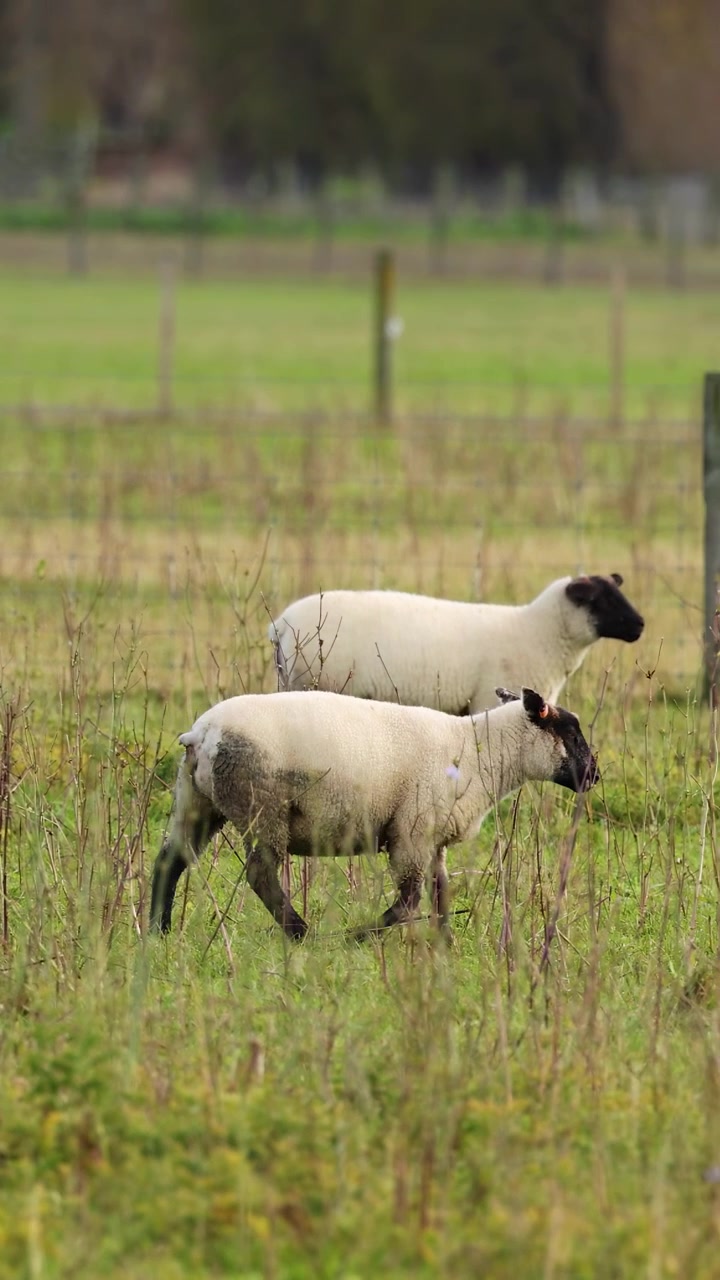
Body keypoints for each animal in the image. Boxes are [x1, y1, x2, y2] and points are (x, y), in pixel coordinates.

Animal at [150, 685, 599, 943]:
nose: (594, 775)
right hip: (262, 806)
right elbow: (409, 900)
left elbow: (440, 891)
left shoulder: (431, 837)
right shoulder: (410, 831)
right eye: (572, 734)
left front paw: (444, 945)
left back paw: (158, 929)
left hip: (198, 800)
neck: (479, 753)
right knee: (260, 874)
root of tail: (202, 733)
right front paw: (358, 936)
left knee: (170, 859)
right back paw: (302, 934)